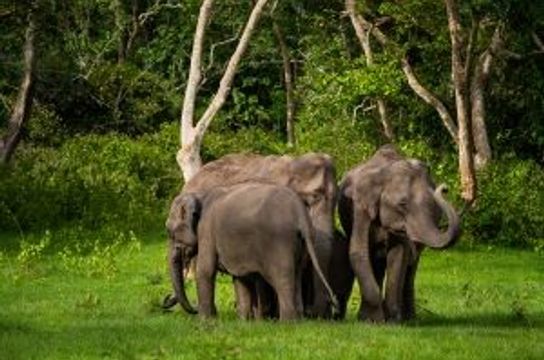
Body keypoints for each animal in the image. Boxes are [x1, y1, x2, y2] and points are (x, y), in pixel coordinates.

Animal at [340, 146, 460, 324]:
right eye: (402, 204)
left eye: (434, 204)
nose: (444, 188)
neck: (384, 173)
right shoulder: (359, 210)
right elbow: (358, 252)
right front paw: (372, 321)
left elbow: (399, 256)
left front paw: (392, 321)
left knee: (410, 269)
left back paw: (410, 319)